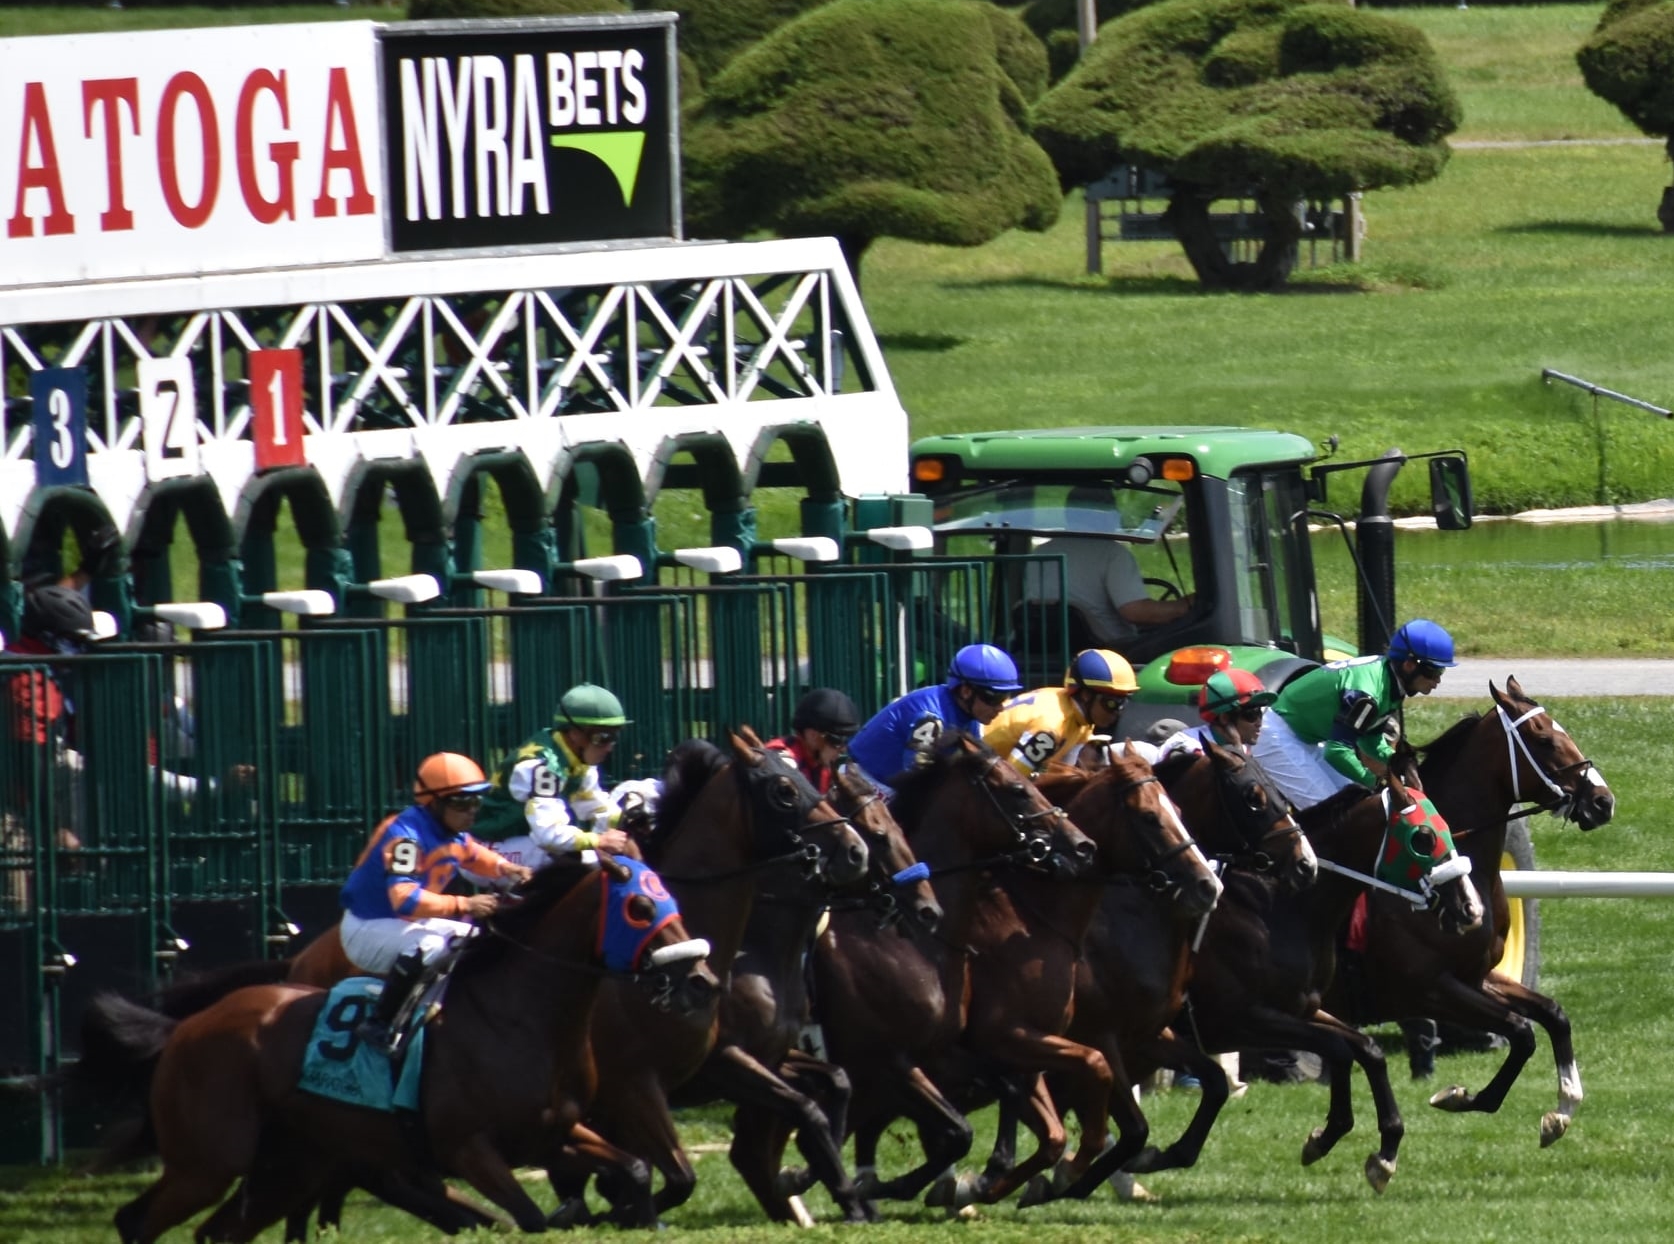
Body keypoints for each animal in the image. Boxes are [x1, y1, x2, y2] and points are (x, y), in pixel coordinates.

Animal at [94, 857, 716, 1244]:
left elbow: (635, 1168)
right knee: (135, 1221)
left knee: (215, 1230)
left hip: (288, 1166)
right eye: (640, 907)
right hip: (208, 1161)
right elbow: (529, 1217)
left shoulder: (551, 1133)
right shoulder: (467, 1148)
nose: (701, 980)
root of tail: (184, 1029)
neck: (519, 1016)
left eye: (669, 896)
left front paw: (636, 1212)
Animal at [1325, 679, 1613, 1145]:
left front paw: (1563, 1108)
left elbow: (1552, 1014)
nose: (1604, 801)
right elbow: (1522, 1031)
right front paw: (1461, 1096)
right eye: (1545, 739)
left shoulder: (1476, 975)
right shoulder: (1427, 987)